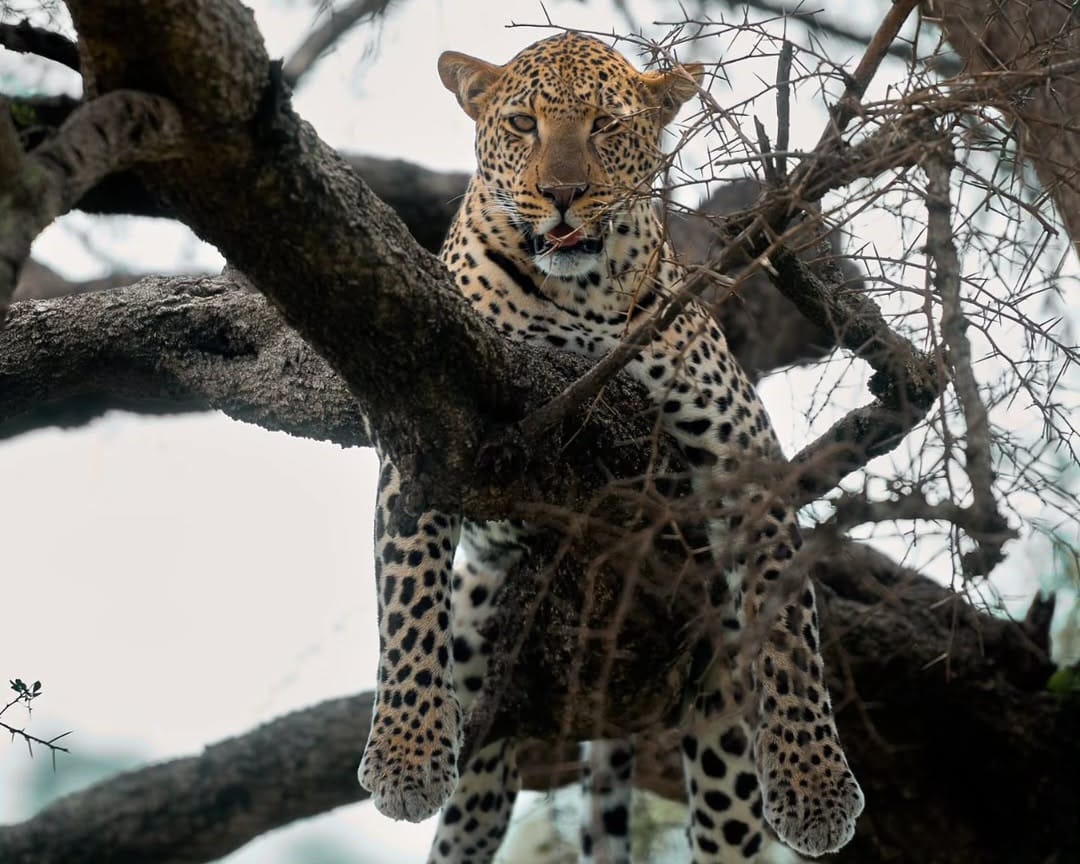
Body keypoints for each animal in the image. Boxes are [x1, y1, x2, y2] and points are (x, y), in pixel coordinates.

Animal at [357, 32, 865, 863]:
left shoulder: (746, 462)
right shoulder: (423, 437)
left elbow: (791, 630)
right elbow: (409, 596)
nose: (562, 192)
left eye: (605, 126)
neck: (581, 295)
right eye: (523, 124)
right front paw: (407, 752)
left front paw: (815, 786)